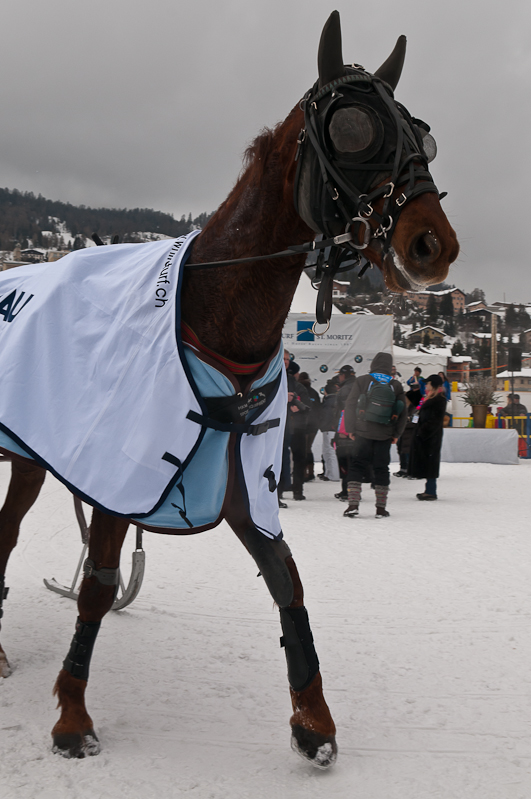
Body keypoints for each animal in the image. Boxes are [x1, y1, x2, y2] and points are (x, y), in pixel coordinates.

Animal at [0, 7, 460, 768]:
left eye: (418, 132)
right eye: (355, 128)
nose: (434, 244)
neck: (211, 309)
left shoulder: (245, 469)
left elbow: (285, 576)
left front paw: (313, 718)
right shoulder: (123, 476)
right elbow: (96, 589)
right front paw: (71, 712)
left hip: (31, 460)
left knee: (5, 533)